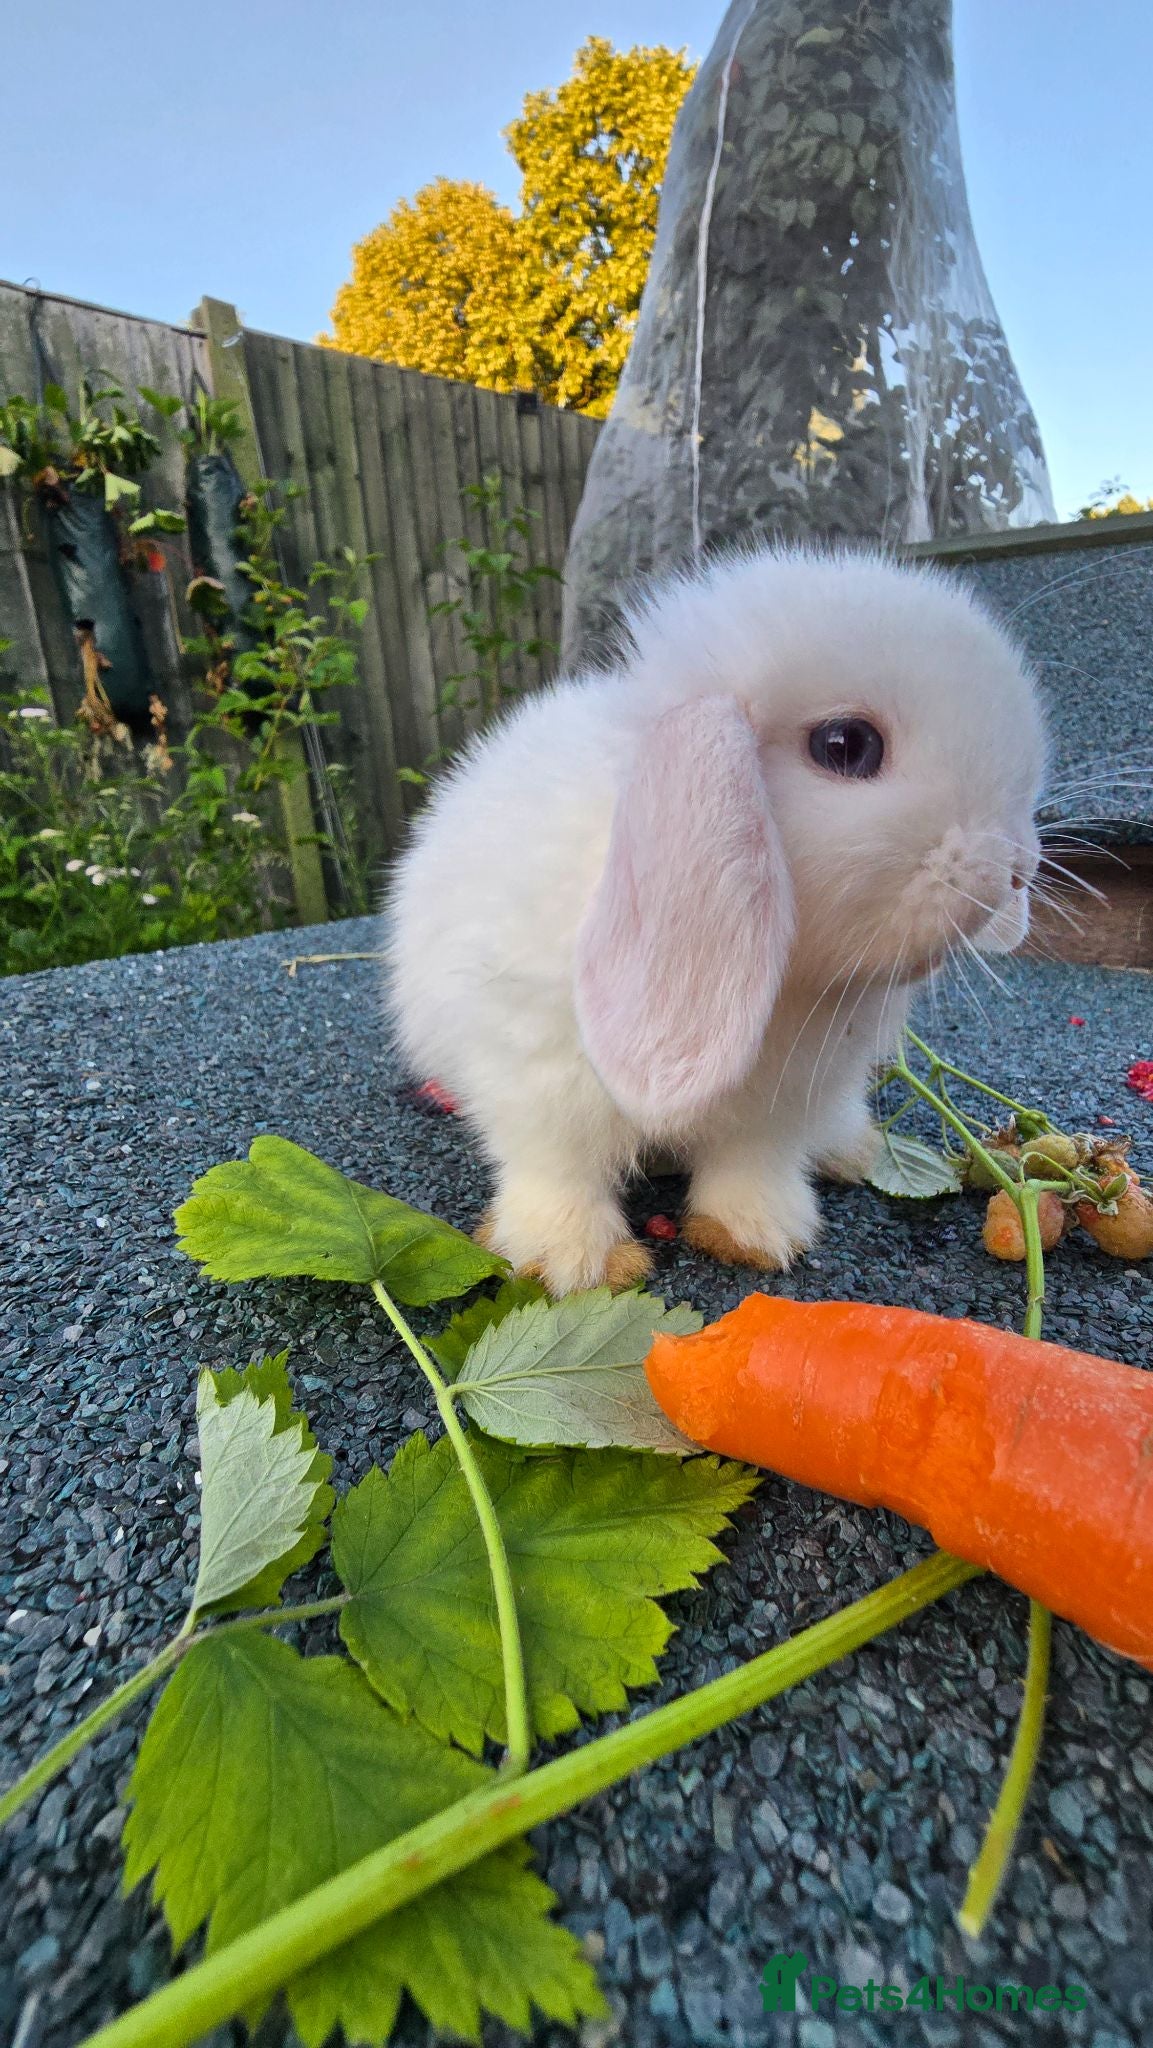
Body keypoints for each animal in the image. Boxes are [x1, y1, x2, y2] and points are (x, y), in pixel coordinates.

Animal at [385, 545, 1046, 1297]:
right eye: (845, 744)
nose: (1014, 870)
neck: (782, 983)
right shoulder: (534, 1074)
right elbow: (560, 1169)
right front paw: (571, 1263)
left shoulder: (782, 1102)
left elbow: (750, 1164)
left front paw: (755, 1236)